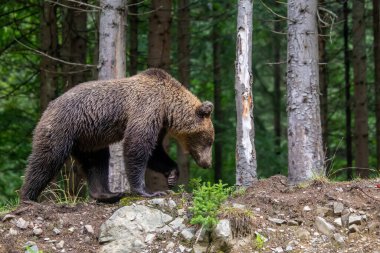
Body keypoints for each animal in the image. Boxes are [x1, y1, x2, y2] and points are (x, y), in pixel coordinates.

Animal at [20, 68, 215, 202]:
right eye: (209, 140)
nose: (207, 163)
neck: (167, 107)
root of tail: (48, 107)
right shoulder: (146, 108)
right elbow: (137, 145)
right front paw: (148, 191)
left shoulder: (159, 123)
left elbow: (155, 151)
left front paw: (172, 175)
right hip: (63, 127)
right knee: (47, 159)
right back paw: (28, 196)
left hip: (89, 138)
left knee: (96, 161)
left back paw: (107, 194)